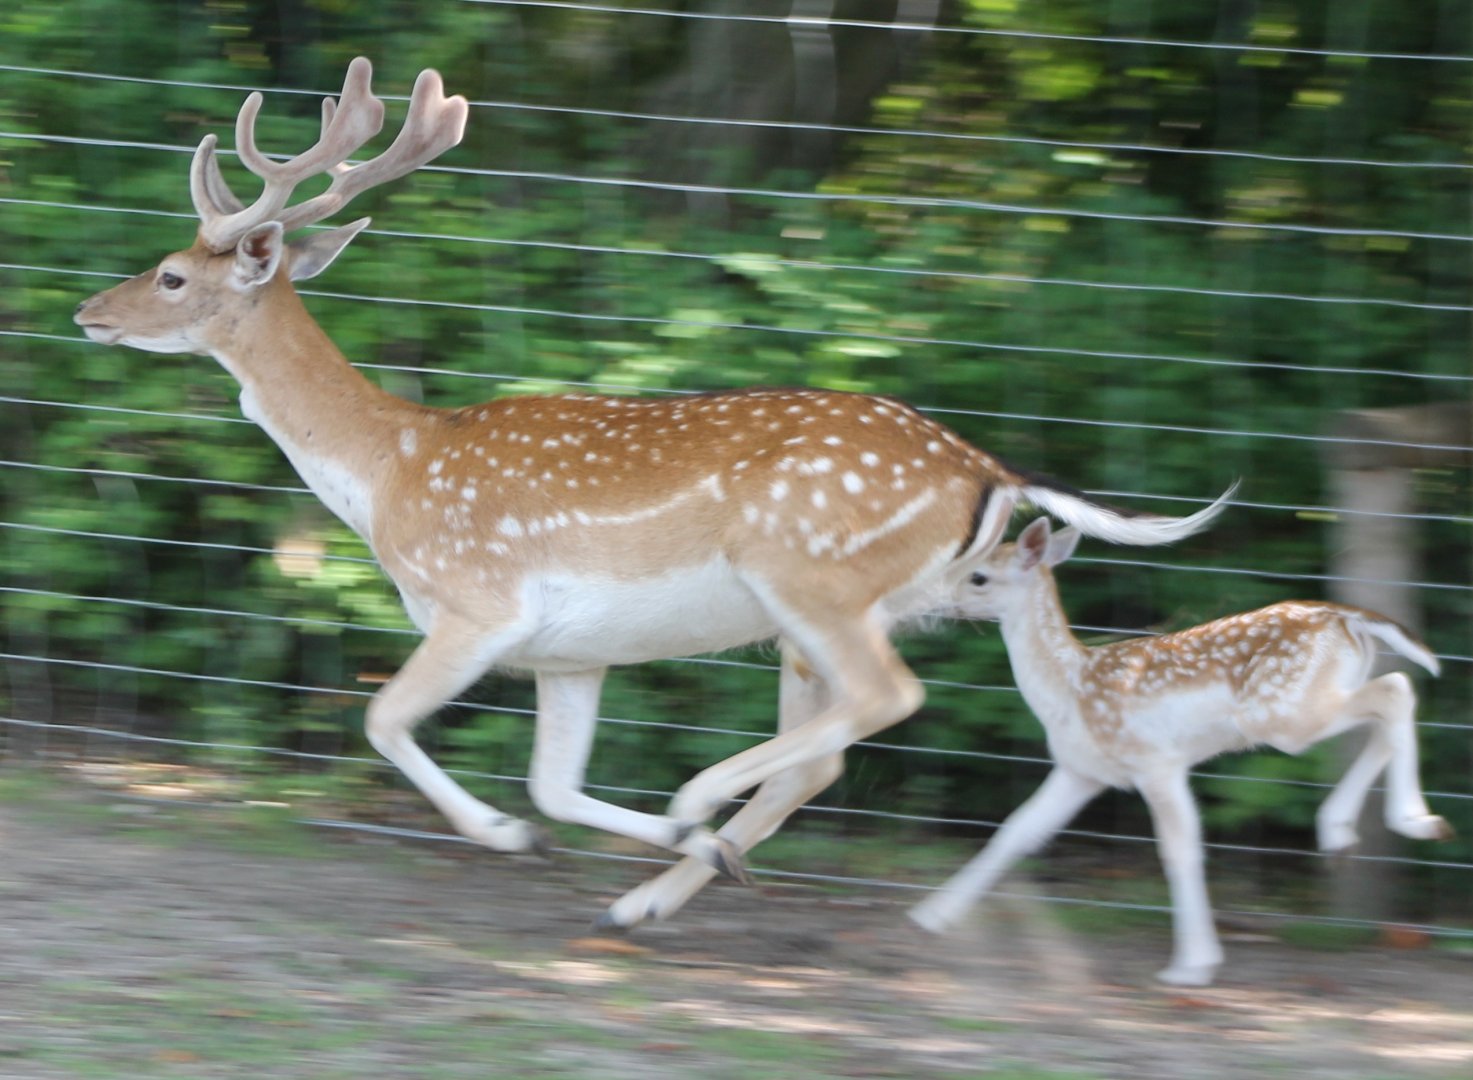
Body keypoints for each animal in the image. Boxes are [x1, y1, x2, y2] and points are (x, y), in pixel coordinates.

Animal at [73, 57, 1235, 931]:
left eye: (174, 274)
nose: (89, 313)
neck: (393, 468)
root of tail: (983, 468)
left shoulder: (477, 601)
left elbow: (383, 718)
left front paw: (514, 837)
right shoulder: (570, 654)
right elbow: (549, 779)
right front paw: (582, 839)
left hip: (808, 576)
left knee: (884, 699)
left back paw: (693, 809)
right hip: (819, 616)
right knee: (825, 752)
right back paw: (667, 882)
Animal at [909, 516, 1452, 986]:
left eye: (978, 576)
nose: (929, 598)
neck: (1071, 689)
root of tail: (1346, 617)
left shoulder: (1156, 762)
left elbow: (1180, 849)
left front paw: (1192, 966)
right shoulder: (1082, 769)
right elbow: (1017, 829)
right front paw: (931, 915)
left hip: (1282, 712)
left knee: (1396, 689)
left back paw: (1412, 821)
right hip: (1302, 705)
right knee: (1389, 704)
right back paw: (1349, 831)